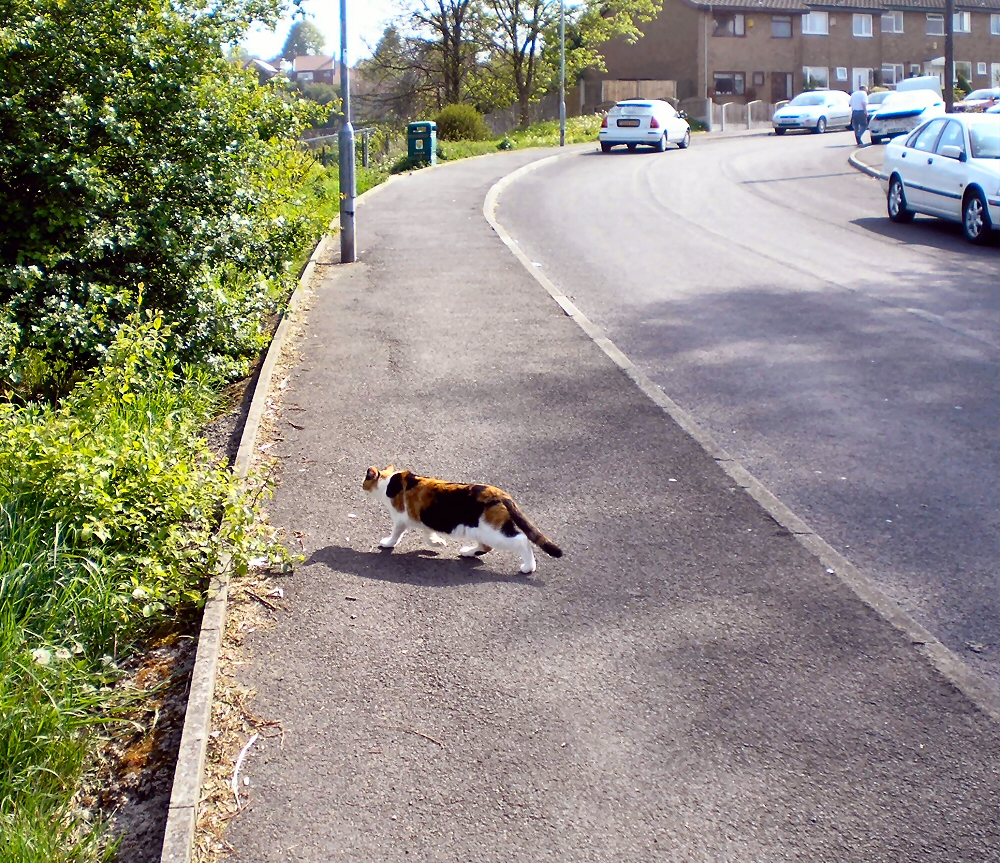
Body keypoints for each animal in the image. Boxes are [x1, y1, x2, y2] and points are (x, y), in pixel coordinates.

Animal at [362, 466, 568, 572]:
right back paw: (468, 552)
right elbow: (428, 534)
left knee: (522, 540)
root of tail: (502, 494)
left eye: (364, 480)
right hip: (480, 530)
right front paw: (438, 543)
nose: (361, 486)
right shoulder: (424, 518)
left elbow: (396, 534)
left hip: (493, 531)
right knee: (486, 546)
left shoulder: (401, 518)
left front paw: (388, 543)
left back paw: (528, 567)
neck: (389, 482)